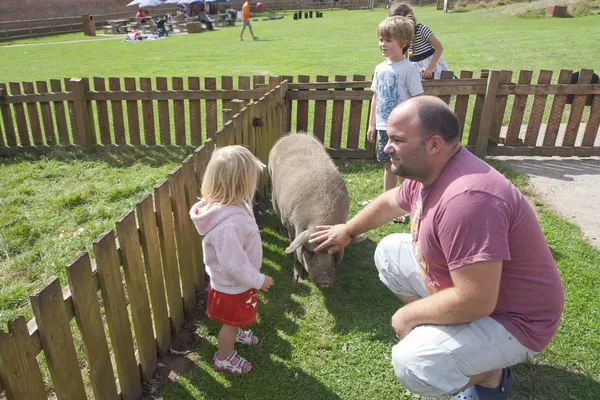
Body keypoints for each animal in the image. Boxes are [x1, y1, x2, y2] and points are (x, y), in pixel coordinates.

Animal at [268, 134, 364, 288]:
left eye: (335, 252)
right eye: (310, 252)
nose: (324, 281)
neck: (322, 219)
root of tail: (293, 135)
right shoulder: (292, 225)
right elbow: (294, 249)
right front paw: (296, 279)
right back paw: (281, 230)